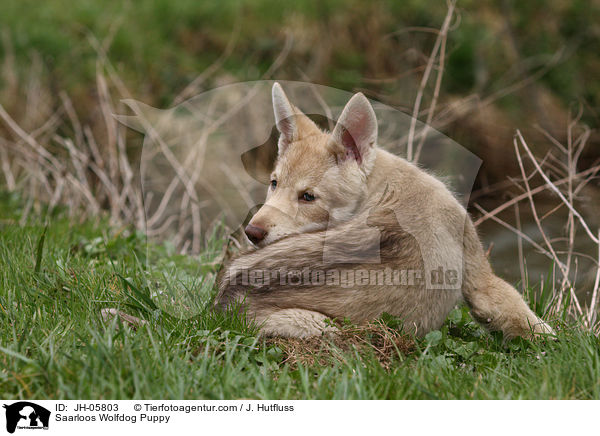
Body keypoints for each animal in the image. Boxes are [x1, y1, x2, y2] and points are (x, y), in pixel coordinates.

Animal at [214, 82, 552, 340]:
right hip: (327, 327)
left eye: (308, 197)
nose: (252, 232)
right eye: (274, 183)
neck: (384, 186)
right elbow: (529, 319)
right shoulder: (482, 280)